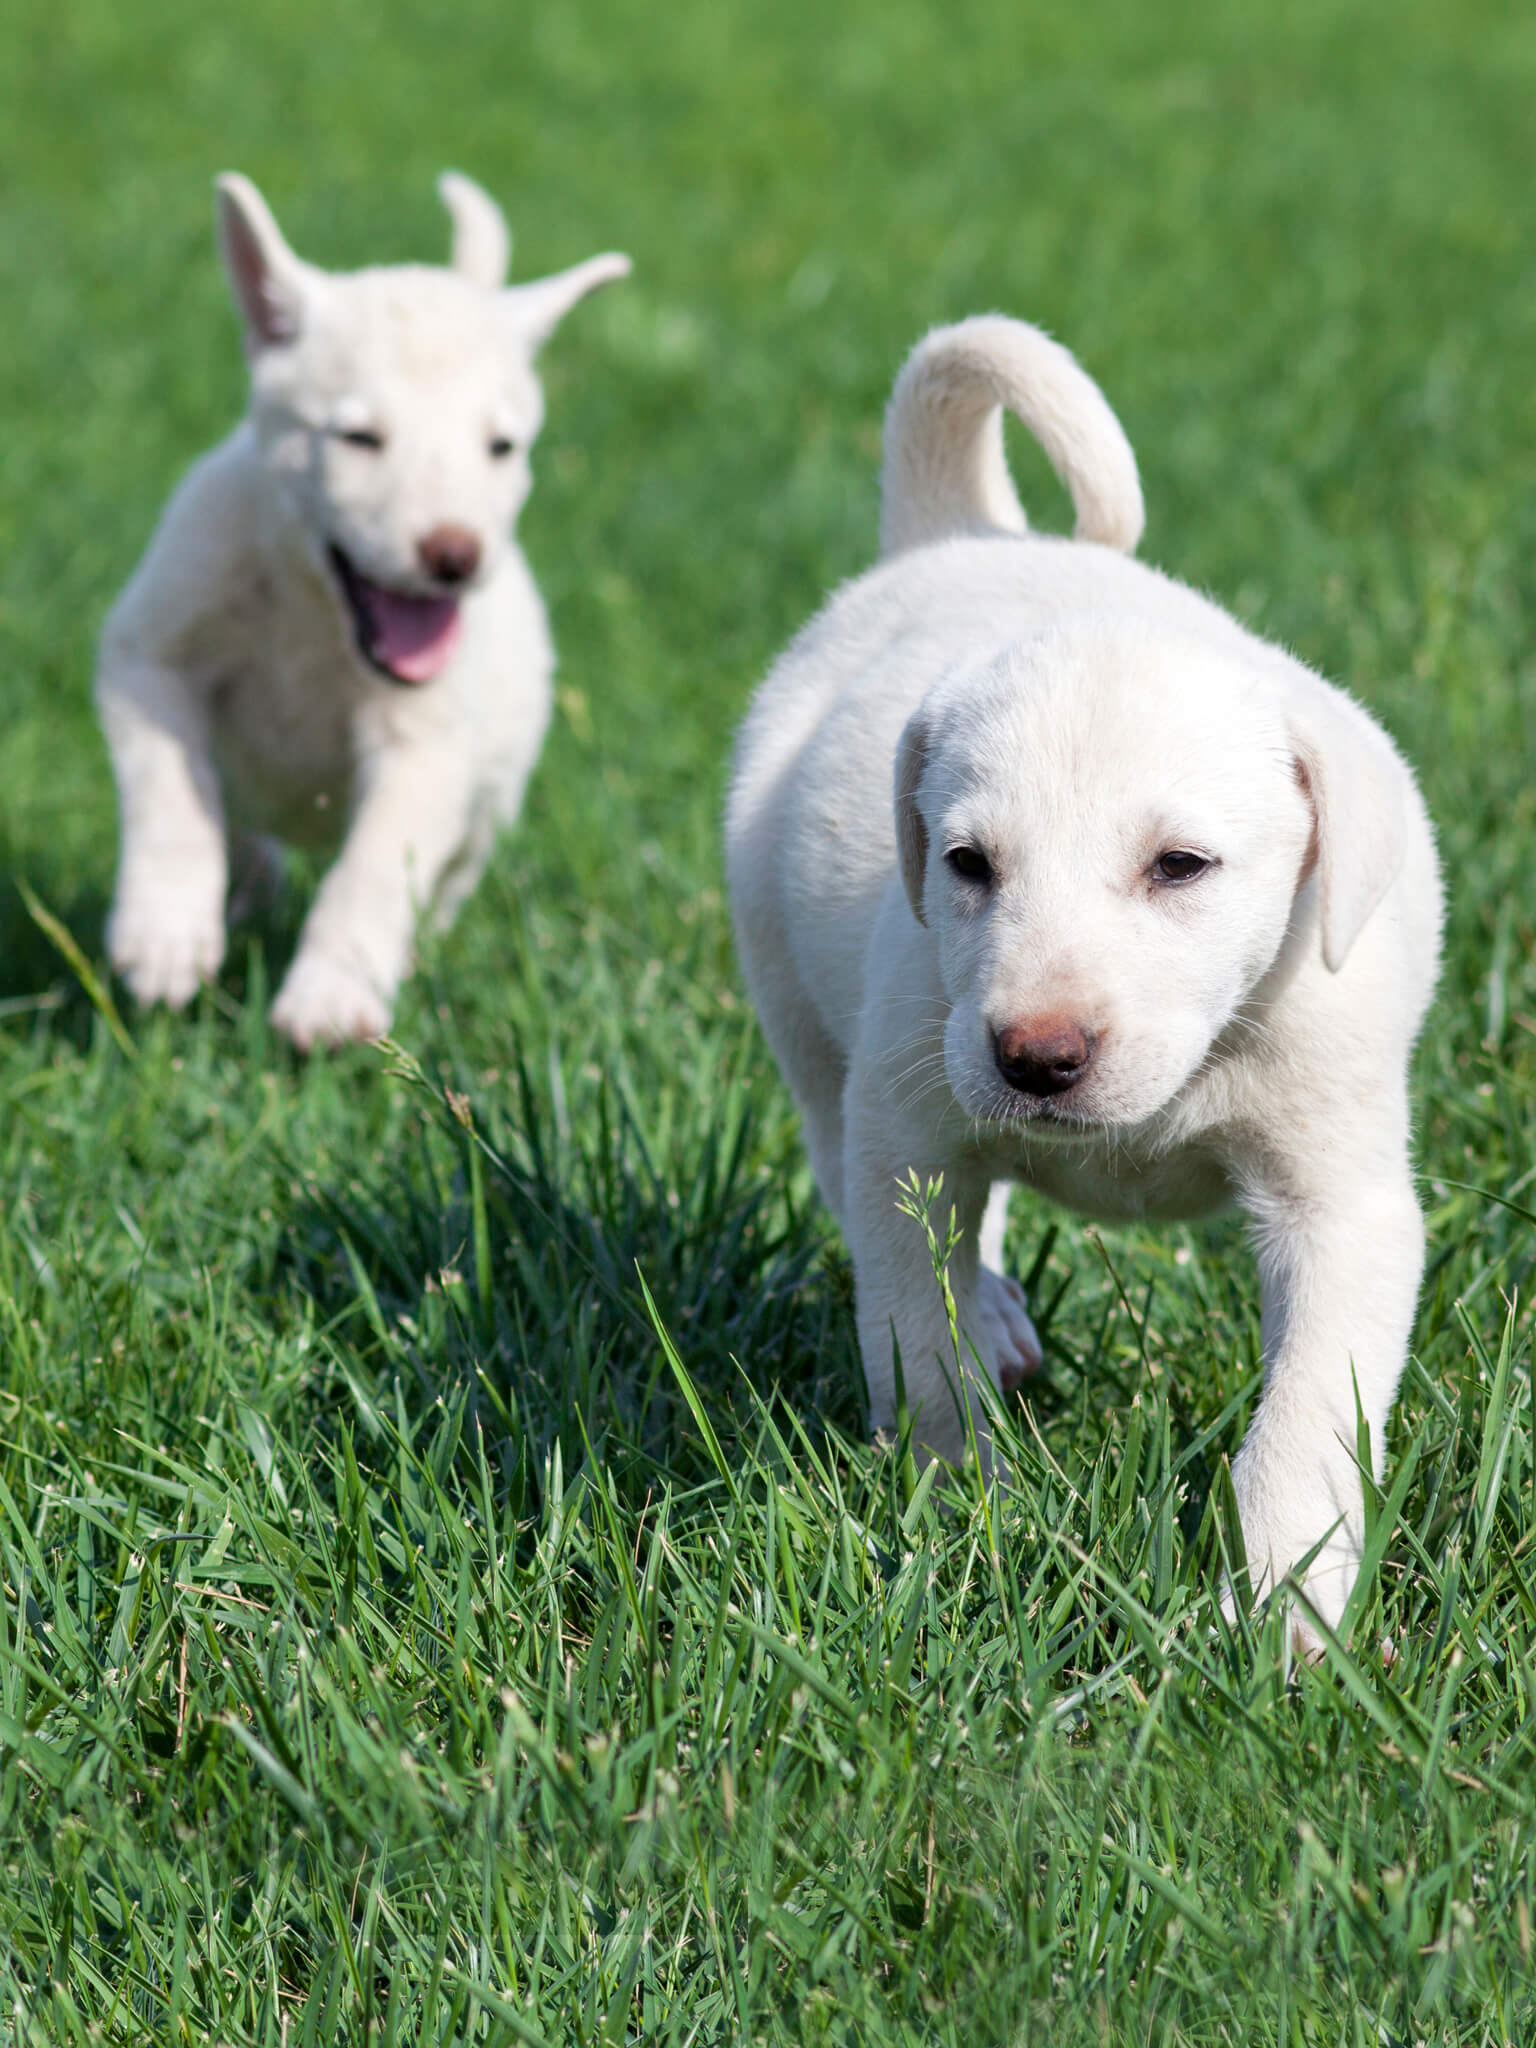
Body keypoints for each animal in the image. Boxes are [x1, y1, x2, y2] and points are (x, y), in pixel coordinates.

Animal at [97, 167, 630, 1048]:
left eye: (501, 447)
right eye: (358, 438)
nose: (454, 555)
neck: (318, 617)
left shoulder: (428, 748)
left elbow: (374, 867)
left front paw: (331, 995)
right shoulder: (146, 662)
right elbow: (172, 791)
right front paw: (166, 934)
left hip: (492, 800)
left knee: (442, 879)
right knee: (238, 817)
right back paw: (241, 892)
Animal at [729, 315, 1449, 1646]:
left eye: (1182, 865)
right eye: (967, 863)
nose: (1037, 1056)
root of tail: (965, 532)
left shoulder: (1340, 1199)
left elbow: (1308, 1414)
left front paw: (1287, 1612)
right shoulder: (909, 1130)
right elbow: (919, 1345)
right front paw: (966, 1509)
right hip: (808, 1025)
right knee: (875, 1175)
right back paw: (999, 1314)